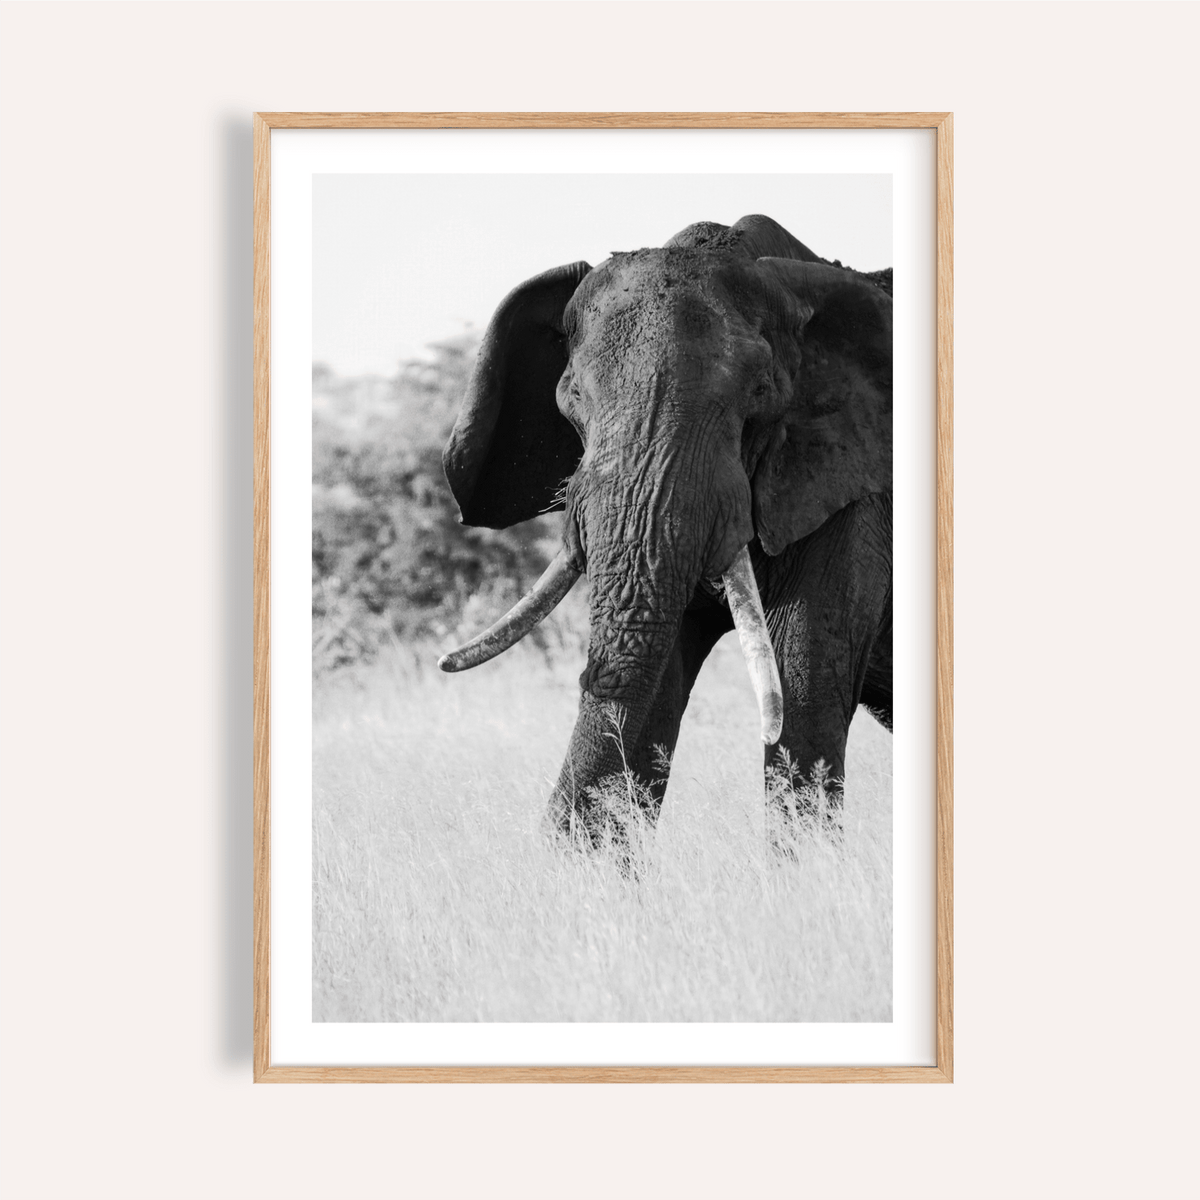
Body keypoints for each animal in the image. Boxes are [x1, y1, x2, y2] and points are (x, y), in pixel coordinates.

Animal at [437, 214, 892, 842]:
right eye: (570, 397)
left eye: (759, 394)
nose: (442, 663)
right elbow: (656, 686)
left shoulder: (850, 488)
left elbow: (807, 683)